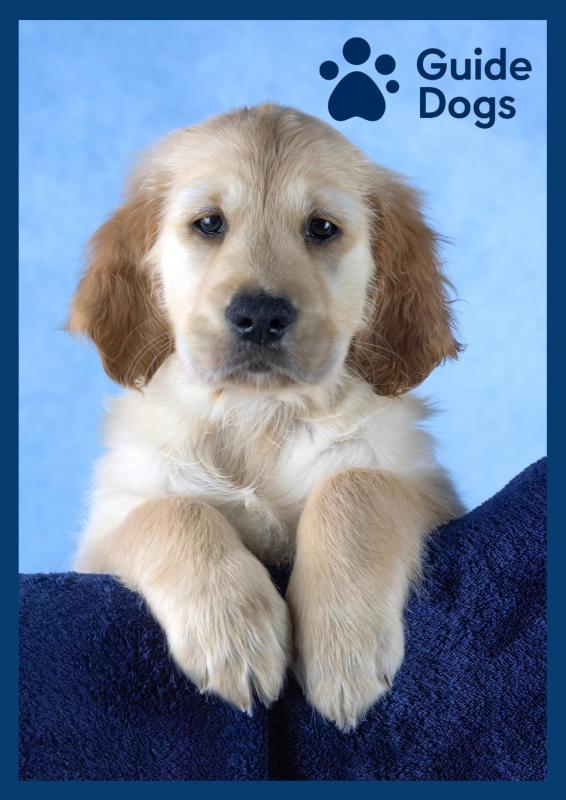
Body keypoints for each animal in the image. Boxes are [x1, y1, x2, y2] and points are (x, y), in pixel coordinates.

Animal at [69, 103, 462, 730]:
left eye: (321, 228)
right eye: (209, 223)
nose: (258, 315)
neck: (258, 413)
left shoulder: (428, 487)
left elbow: (356, 486)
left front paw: (342, 648)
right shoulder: (106, 531)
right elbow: (174, 510)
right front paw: (234, 638)